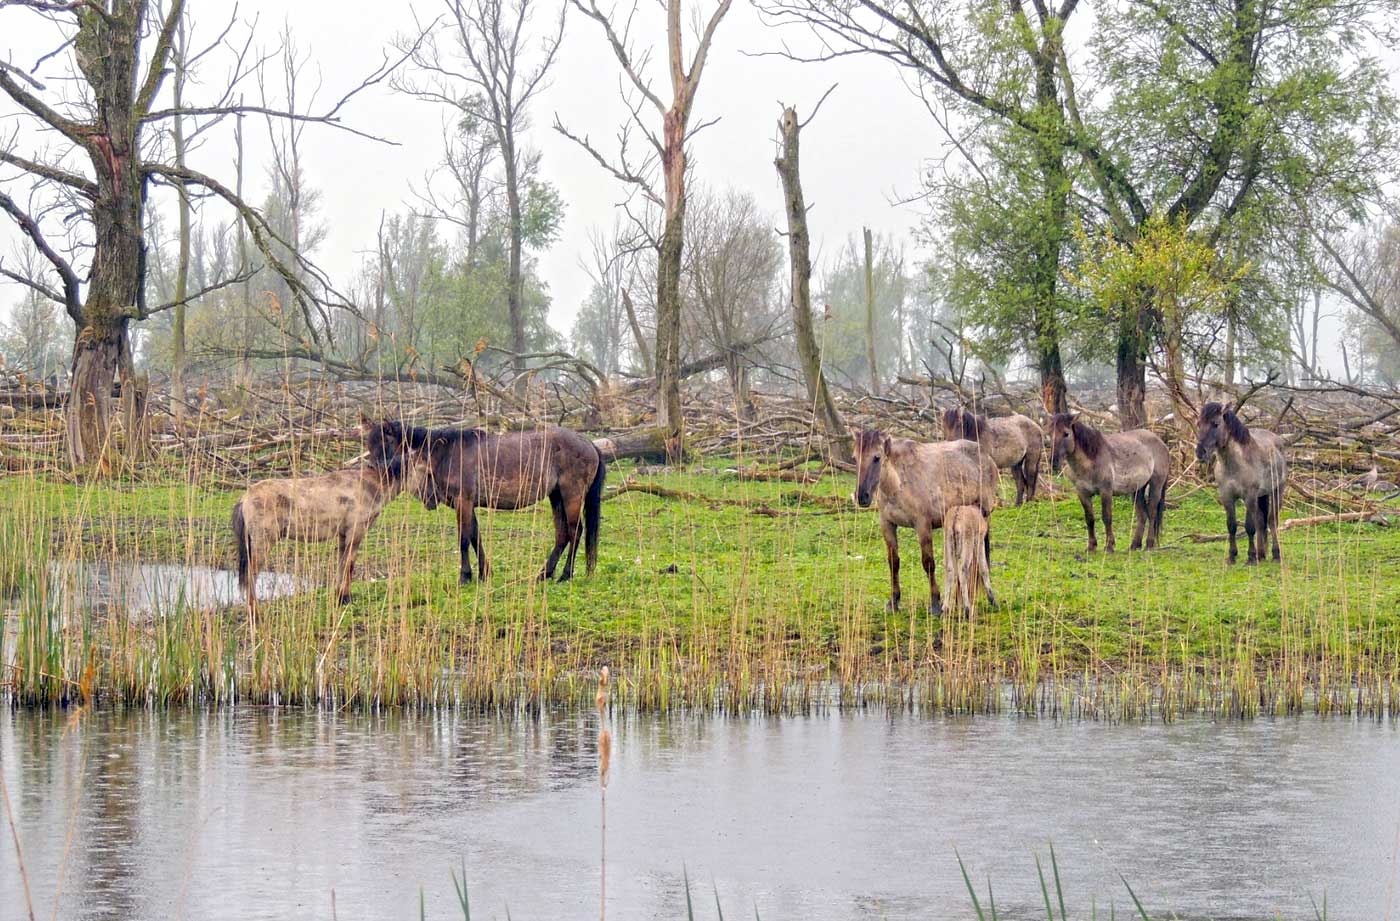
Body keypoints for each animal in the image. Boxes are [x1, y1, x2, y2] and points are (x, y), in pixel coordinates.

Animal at [229, 450, 406, 610]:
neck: (369, 485)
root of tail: (244, 498)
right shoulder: (355, 532)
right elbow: (349, 566)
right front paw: (346, 598)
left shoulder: (343, 535)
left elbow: (341, 565)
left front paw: (340, 598)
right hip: (263, 541)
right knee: (251, 574)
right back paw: (255, 611)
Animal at [364, 417, 604, 582]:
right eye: (369, 444)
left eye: (384, 443)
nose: (375, 472)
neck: (447, 452)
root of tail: (588, 442)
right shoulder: (467, 505)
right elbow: (475, 538)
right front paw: (483, 573)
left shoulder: (463, 502)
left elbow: (463, 539)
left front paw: (465, 576)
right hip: (556, 497)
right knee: (562, 535)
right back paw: (545, 573)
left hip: (571, 495)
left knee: (575, 531)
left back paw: (565, 574)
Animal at [1052, 414, 1170, 551]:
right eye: (1049, 433)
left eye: (1066, 434)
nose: (1053, 461)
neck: (1090, 462)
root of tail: (1162, 443)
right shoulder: (1082, 493)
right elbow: (1089, 518)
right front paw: (1091, 546)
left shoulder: (1106, 491)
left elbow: (1107, 517)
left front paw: (1109, 546)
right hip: (1138, 489)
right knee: (1142, 515)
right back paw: (1134, 545)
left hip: (1156, 484)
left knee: (1152, 513)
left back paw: (1149, 544)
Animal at [1192, 400, 1288, 562]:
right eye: (1198, 424)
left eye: (1216, 424)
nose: (1200, 453)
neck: (1234, 465)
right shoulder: (1227, 497)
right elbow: (1232, 525)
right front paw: (1232, 556)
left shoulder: (1248, 496)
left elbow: (1250, 526)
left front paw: (1251, 557)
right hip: (1261, 496)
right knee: (1261, 521)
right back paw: (1262, 554)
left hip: (1276, 492)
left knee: (1272, 521)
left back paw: (1275, 554)